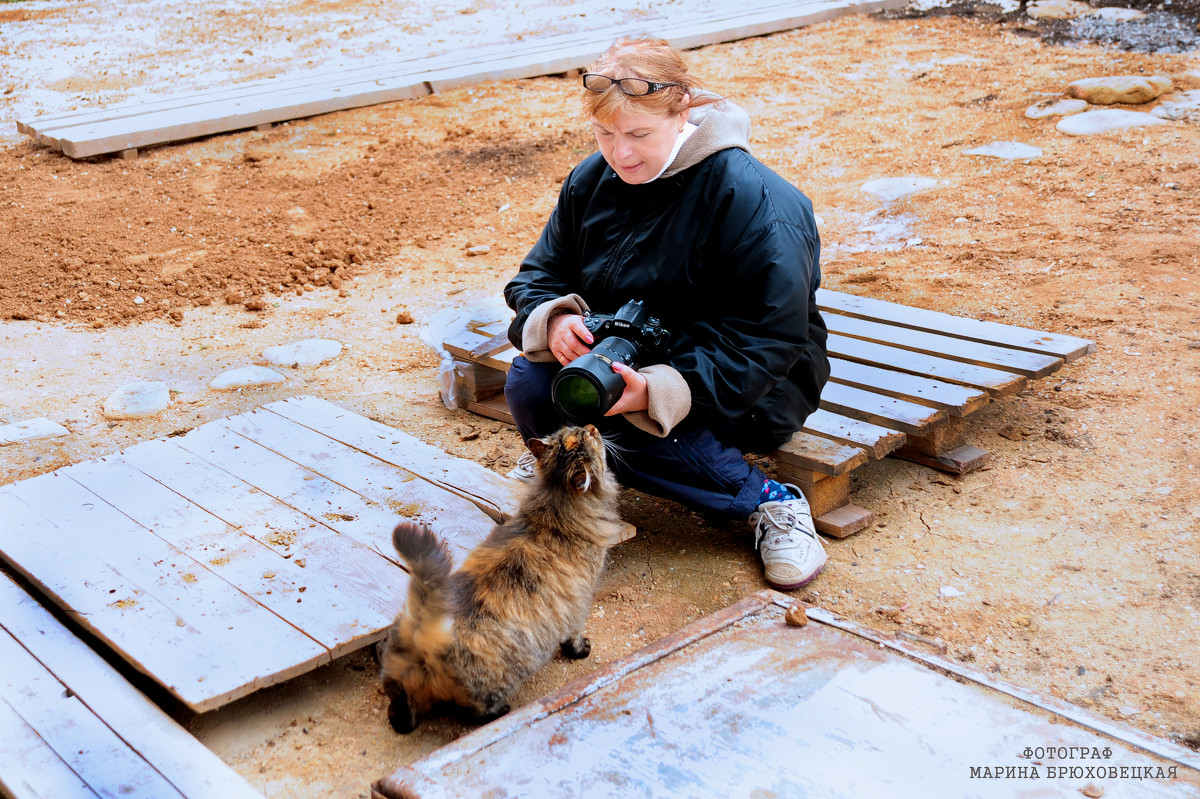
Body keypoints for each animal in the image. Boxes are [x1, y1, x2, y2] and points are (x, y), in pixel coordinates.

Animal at [376, 419, 619, 729]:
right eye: (587, 436)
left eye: (577, 430)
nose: (592, 425)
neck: (554, 504)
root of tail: (426, 630)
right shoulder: (579, 603)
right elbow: (573, 635)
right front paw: (580, 650)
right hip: (497, 681)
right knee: (473, 712)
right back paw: (502, 710)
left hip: (397, 670)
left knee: (399, 708)